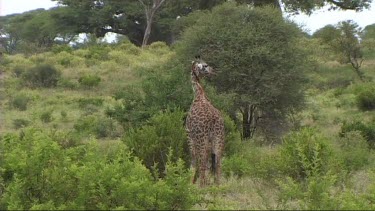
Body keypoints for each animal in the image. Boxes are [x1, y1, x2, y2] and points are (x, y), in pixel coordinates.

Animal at [187, 55, 225, 186]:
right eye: (205, 65)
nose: (213, 70)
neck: (199, 95)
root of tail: (213, 120)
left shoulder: (189, 136)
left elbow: (194, 162)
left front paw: (191, 182)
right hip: (219, 138)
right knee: (218, 163)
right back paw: (218, 186)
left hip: (201, 139)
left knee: (203, 162)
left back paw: (201, 186)